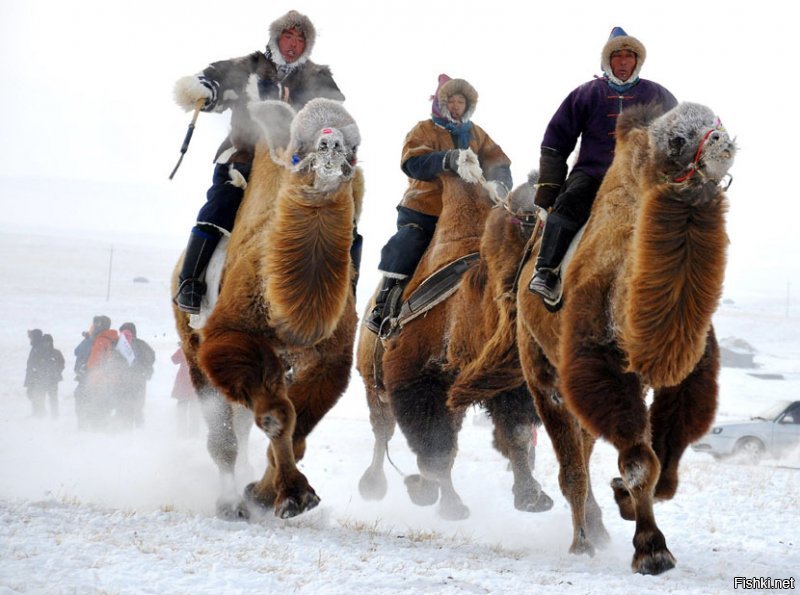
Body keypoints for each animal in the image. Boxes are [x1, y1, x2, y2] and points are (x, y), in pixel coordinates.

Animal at [176, 95, 366, 520]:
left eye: (354, 149)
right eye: (298, 151)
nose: (330, 145)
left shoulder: (330, 359)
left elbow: (296, 430)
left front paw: (266, 494)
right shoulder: (228, 336)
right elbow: (277, 417)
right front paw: (293, 494)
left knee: (243, 425)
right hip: (192, 351)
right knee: (223, 437)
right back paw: (229, 504)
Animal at [354, 175, 552, 520]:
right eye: (529, 219)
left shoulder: (504, 383)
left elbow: (516, 433)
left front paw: (531, 497)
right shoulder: (417, 378)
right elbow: (436, 446)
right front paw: (451, 505)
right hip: (373, 381)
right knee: (383, 431)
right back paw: (374, 486)